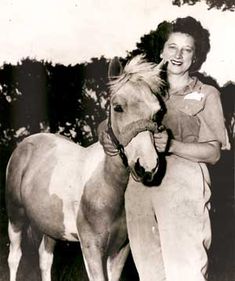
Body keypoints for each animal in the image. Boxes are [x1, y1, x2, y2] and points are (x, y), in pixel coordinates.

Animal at [5, 55, 163, 280]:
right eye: (118, 107)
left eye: (157, 112)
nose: (147, 166)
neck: (105, 185)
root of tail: (26, 143)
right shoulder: (91, 247)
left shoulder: (120, 249)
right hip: (16, 217)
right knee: (15, 257)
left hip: (50, 227)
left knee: (45, 259)